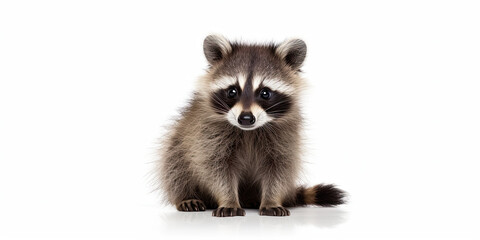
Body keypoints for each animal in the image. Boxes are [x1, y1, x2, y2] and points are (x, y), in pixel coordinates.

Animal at [158, 35, 344, 218]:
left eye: (265, 93)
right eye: (232, 91)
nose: (246, 119)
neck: (249, 131)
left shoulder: (285, 136)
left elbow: (280, 168)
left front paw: (271, 199)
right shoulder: (207, 133)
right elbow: (216, 168)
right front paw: (228, 200)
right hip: (180, 141)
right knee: (174, 164)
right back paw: (185, 195)